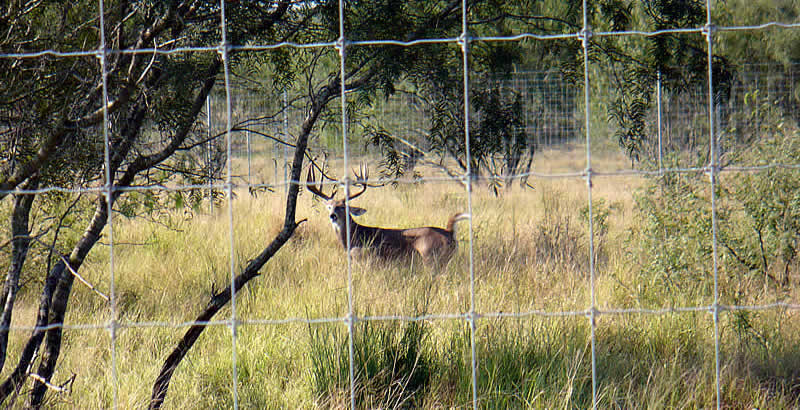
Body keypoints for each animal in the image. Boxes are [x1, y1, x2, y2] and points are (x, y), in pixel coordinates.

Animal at [306, 163, 470, 266]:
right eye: (329, 206)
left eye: (342, 207)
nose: (332, 215)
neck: (353, 240)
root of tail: (449, 232)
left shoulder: (369, 260)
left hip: (431, 257)